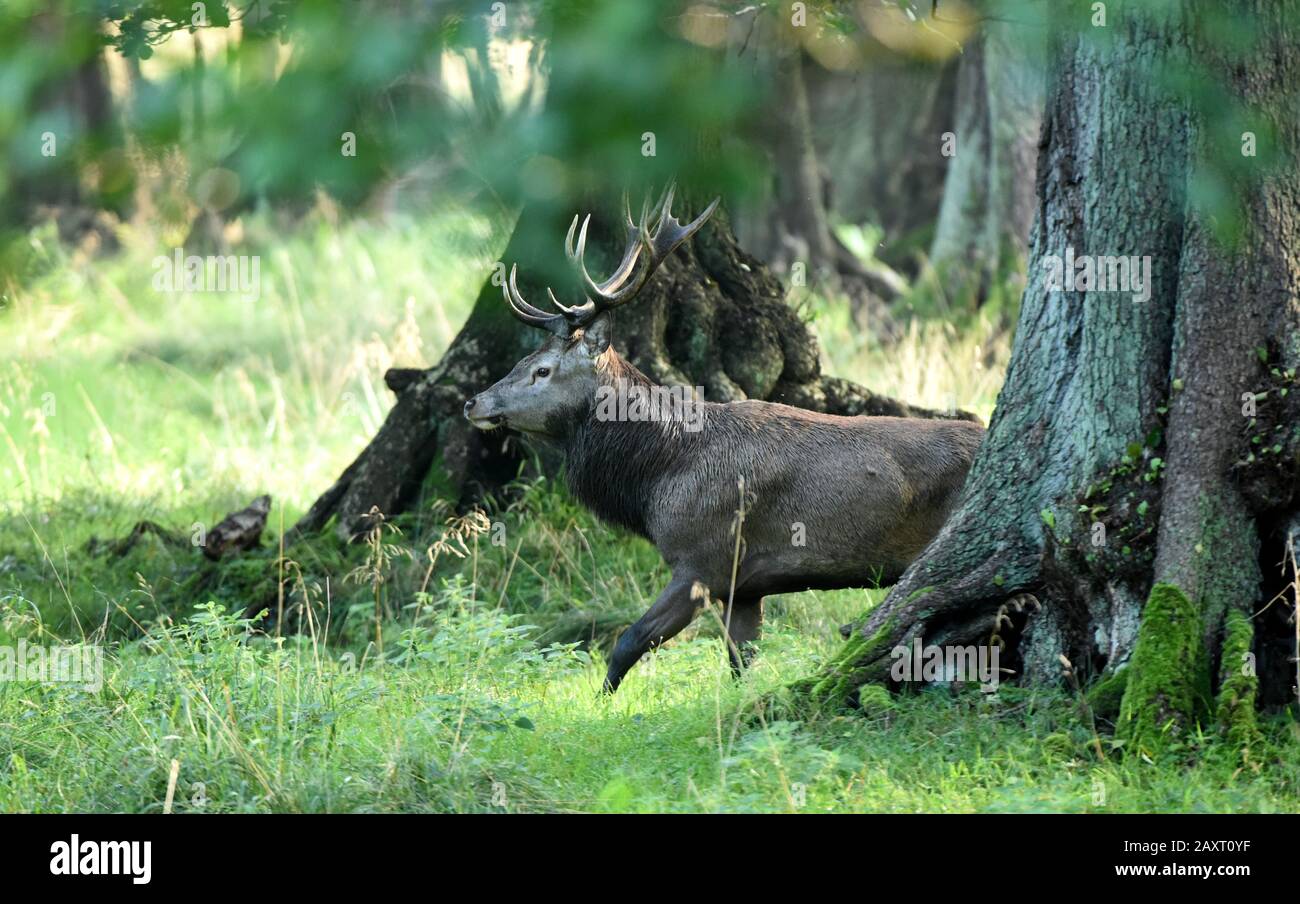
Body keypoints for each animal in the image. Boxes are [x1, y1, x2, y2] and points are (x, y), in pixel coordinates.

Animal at [467, 186, 982, 691]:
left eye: (541, 369)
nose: (474, 402)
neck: (657, 479)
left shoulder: (704, 560)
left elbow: (629, 642)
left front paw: (602, 706)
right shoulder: (747, 585)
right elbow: (740, 664)